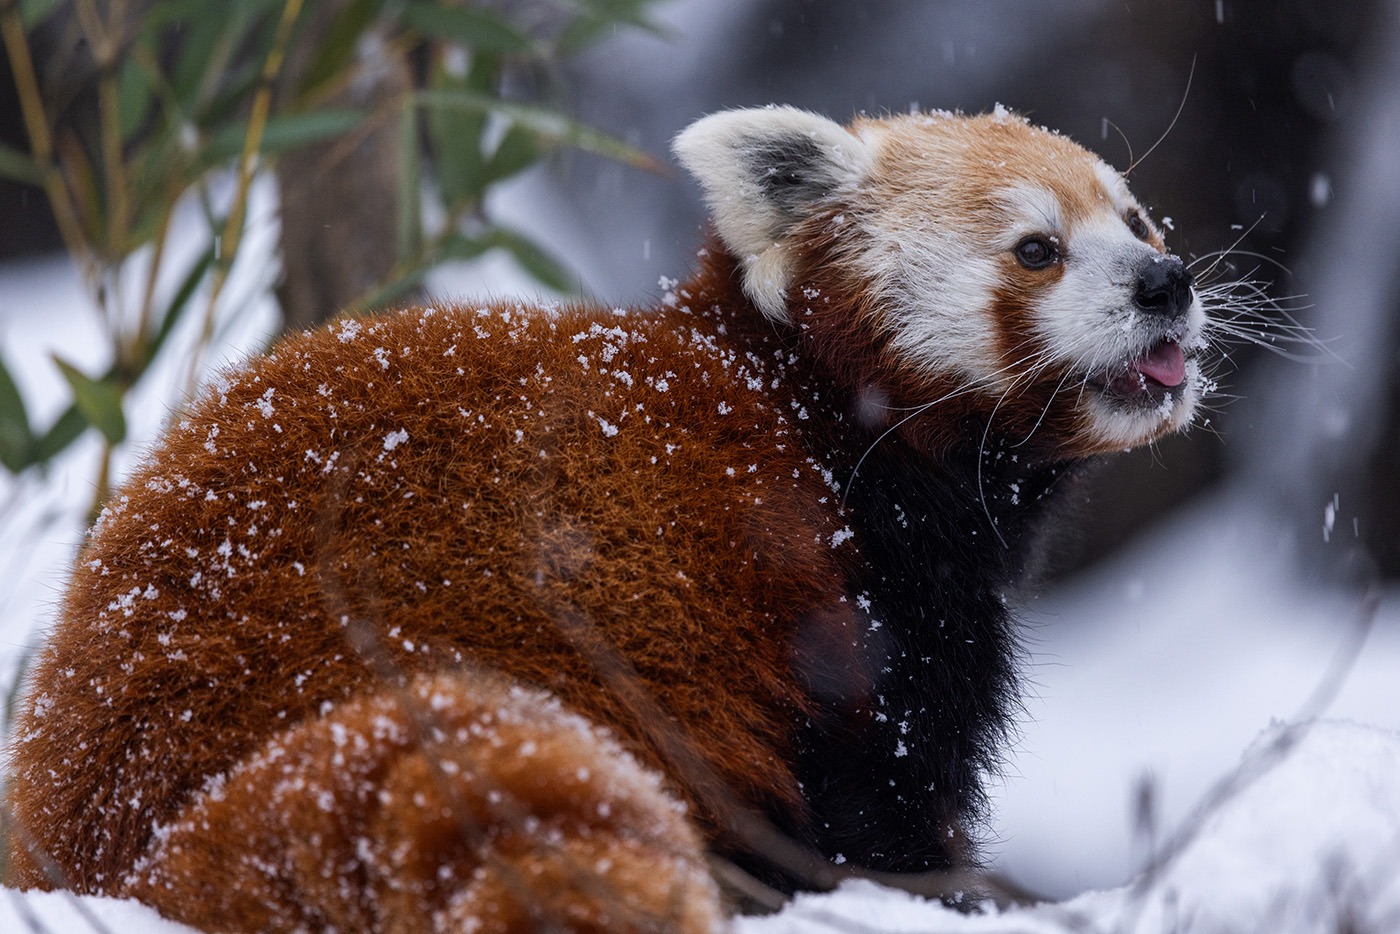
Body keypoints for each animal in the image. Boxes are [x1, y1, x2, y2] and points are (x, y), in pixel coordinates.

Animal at [2, 105, 1204, 929]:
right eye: (1037, 249)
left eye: (1139, 220)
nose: (1167, 281)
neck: (818, 411)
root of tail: (103, 836)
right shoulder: (849, 603)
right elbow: (877, 796)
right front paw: (932, 894)